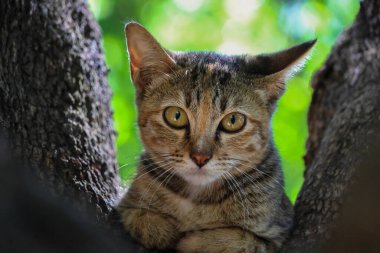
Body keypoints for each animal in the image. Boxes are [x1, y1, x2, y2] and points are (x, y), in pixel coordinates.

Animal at [118, 22, 314, 253]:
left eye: (233, 121)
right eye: (176, 116)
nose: (200, 157)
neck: (196, 200)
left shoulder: (278, 234)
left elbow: (241, 241)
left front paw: (195, 240)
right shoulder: (127, 203)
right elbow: (139, 216)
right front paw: (163, 230)